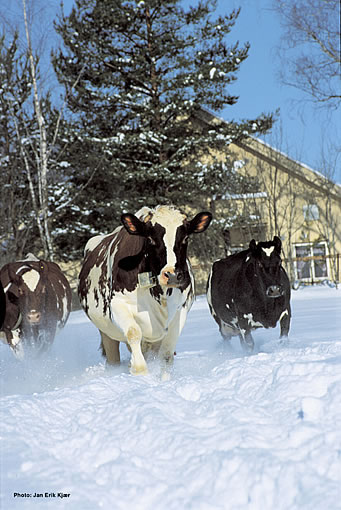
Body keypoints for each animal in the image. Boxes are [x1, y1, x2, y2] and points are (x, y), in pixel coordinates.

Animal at [78, 205, 211, 376]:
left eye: (185, 238)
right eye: (150, 239)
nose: (172, 275)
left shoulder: (181, 308)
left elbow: (167, 354)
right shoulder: (117, 305)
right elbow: (133, 332)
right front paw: (139, 373)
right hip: (106, 331)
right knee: (113, 358)